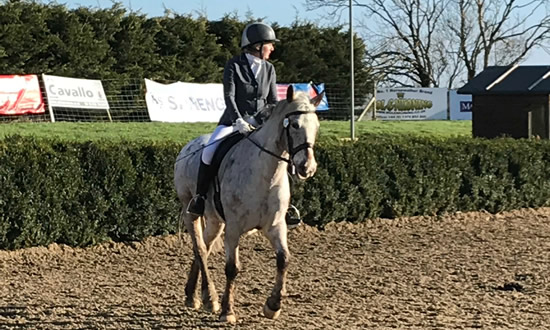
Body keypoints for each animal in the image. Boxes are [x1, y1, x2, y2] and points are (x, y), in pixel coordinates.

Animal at [176, 86, 324, 324]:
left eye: (317, 126)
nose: (307, 168)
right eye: (294, 125)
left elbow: (284, 259)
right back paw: (211, 299)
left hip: (215, 221)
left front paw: (273, 305)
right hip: (191, 212)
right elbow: (232, 268)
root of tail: (188, 146)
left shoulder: (275, 226)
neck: (265, 174)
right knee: (199, 248)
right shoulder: (234, 228)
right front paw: (228, 311)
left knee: (204, 249)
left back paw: (198, 296)